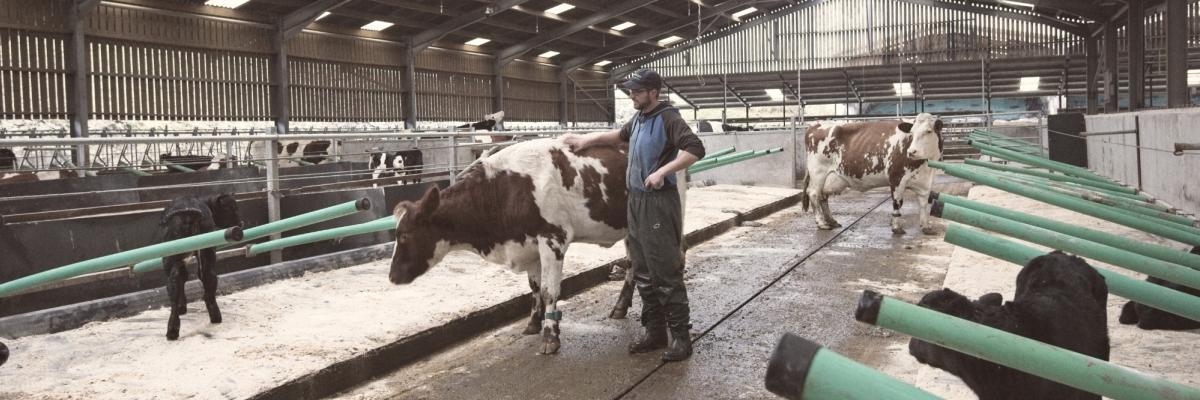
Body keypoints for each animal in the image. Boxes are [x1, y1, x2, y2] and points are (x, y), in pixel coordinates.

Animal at [386, 136, 633, 353]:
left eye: (404, 235)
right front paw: (533, 323)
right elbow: (534, 287)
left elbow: (549, 291)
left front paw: (550, 337)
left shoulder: (553, 238)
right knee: (631, 265)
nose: (392, 276)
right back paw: (620, 307)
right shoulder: (529, 244)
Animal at [801, 112, 940, 234]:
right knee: (813, 193)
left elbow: (924, 204)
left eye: (929, 131)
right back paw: (822, 223)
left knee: (823, 196)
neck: (925, 166)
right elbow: (897, 202)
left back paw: (831, 220)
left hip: (828, 177)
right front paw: (896, 227)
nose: (912, 152)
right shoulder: (896, 178)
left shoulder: (925, 182)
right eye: (911, 133)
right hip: (818, 172)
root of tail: (816, 124)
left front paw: (926, 226)